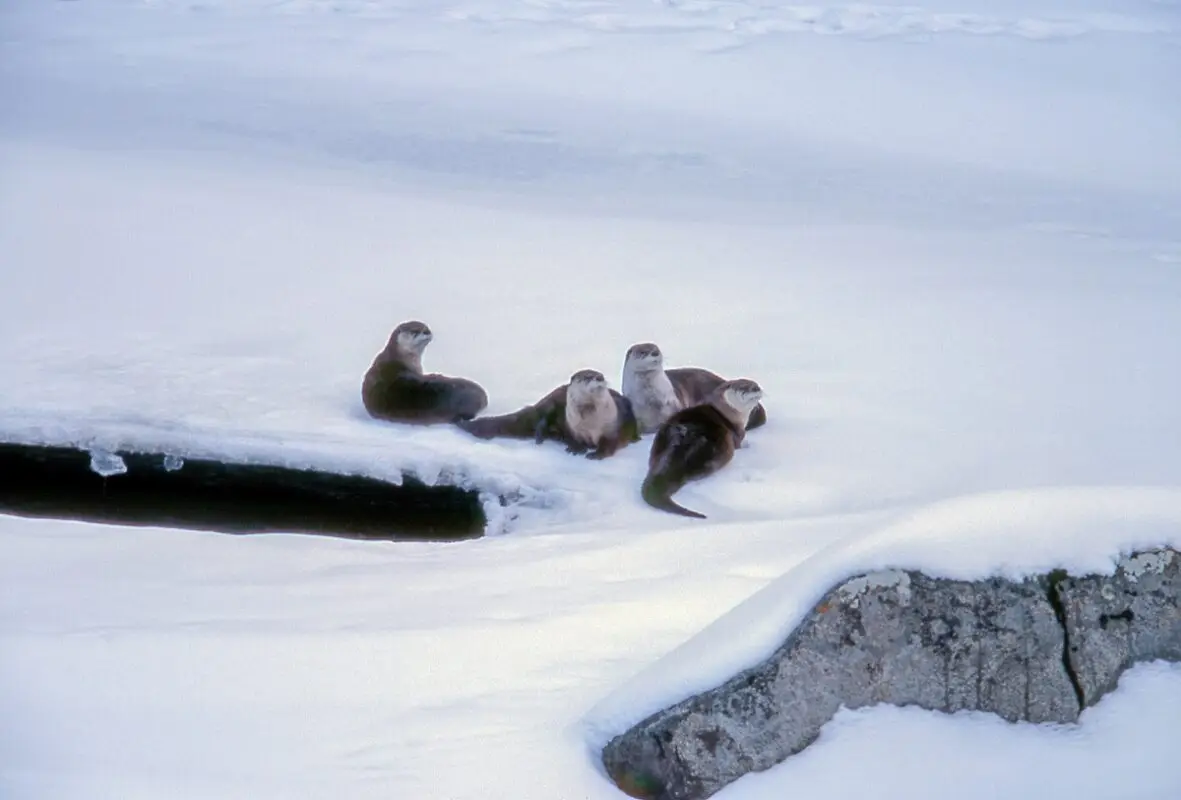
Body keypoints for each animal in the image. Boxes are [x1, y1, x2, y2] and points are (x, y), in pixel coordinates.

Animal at [453, 368, 637, 458]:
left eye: (600, 375)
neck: (590, 424)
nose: (599, 378)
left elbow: (610, 444)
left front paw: (596, 454)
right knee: (542, 419)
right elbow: (575, 439)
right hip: (550, 402)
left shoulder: (613, 427)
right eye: (587, 377)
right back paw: (541, 437)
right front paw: (576, 448)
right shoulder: (574, 428)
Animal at [618, 342, 765, 434]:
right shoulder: (636, 411)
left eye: (657, 349)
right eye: (643, 352)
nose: (655, 352)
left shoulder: (673, 402)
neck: (652, 401)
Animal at [642, 378, 760, 519]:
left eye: (755, 384)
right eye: (744, 387)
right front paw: (747, 445)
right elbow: (740, 444)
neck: (727, 412)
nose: (757, 388)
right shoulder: (738, 433)